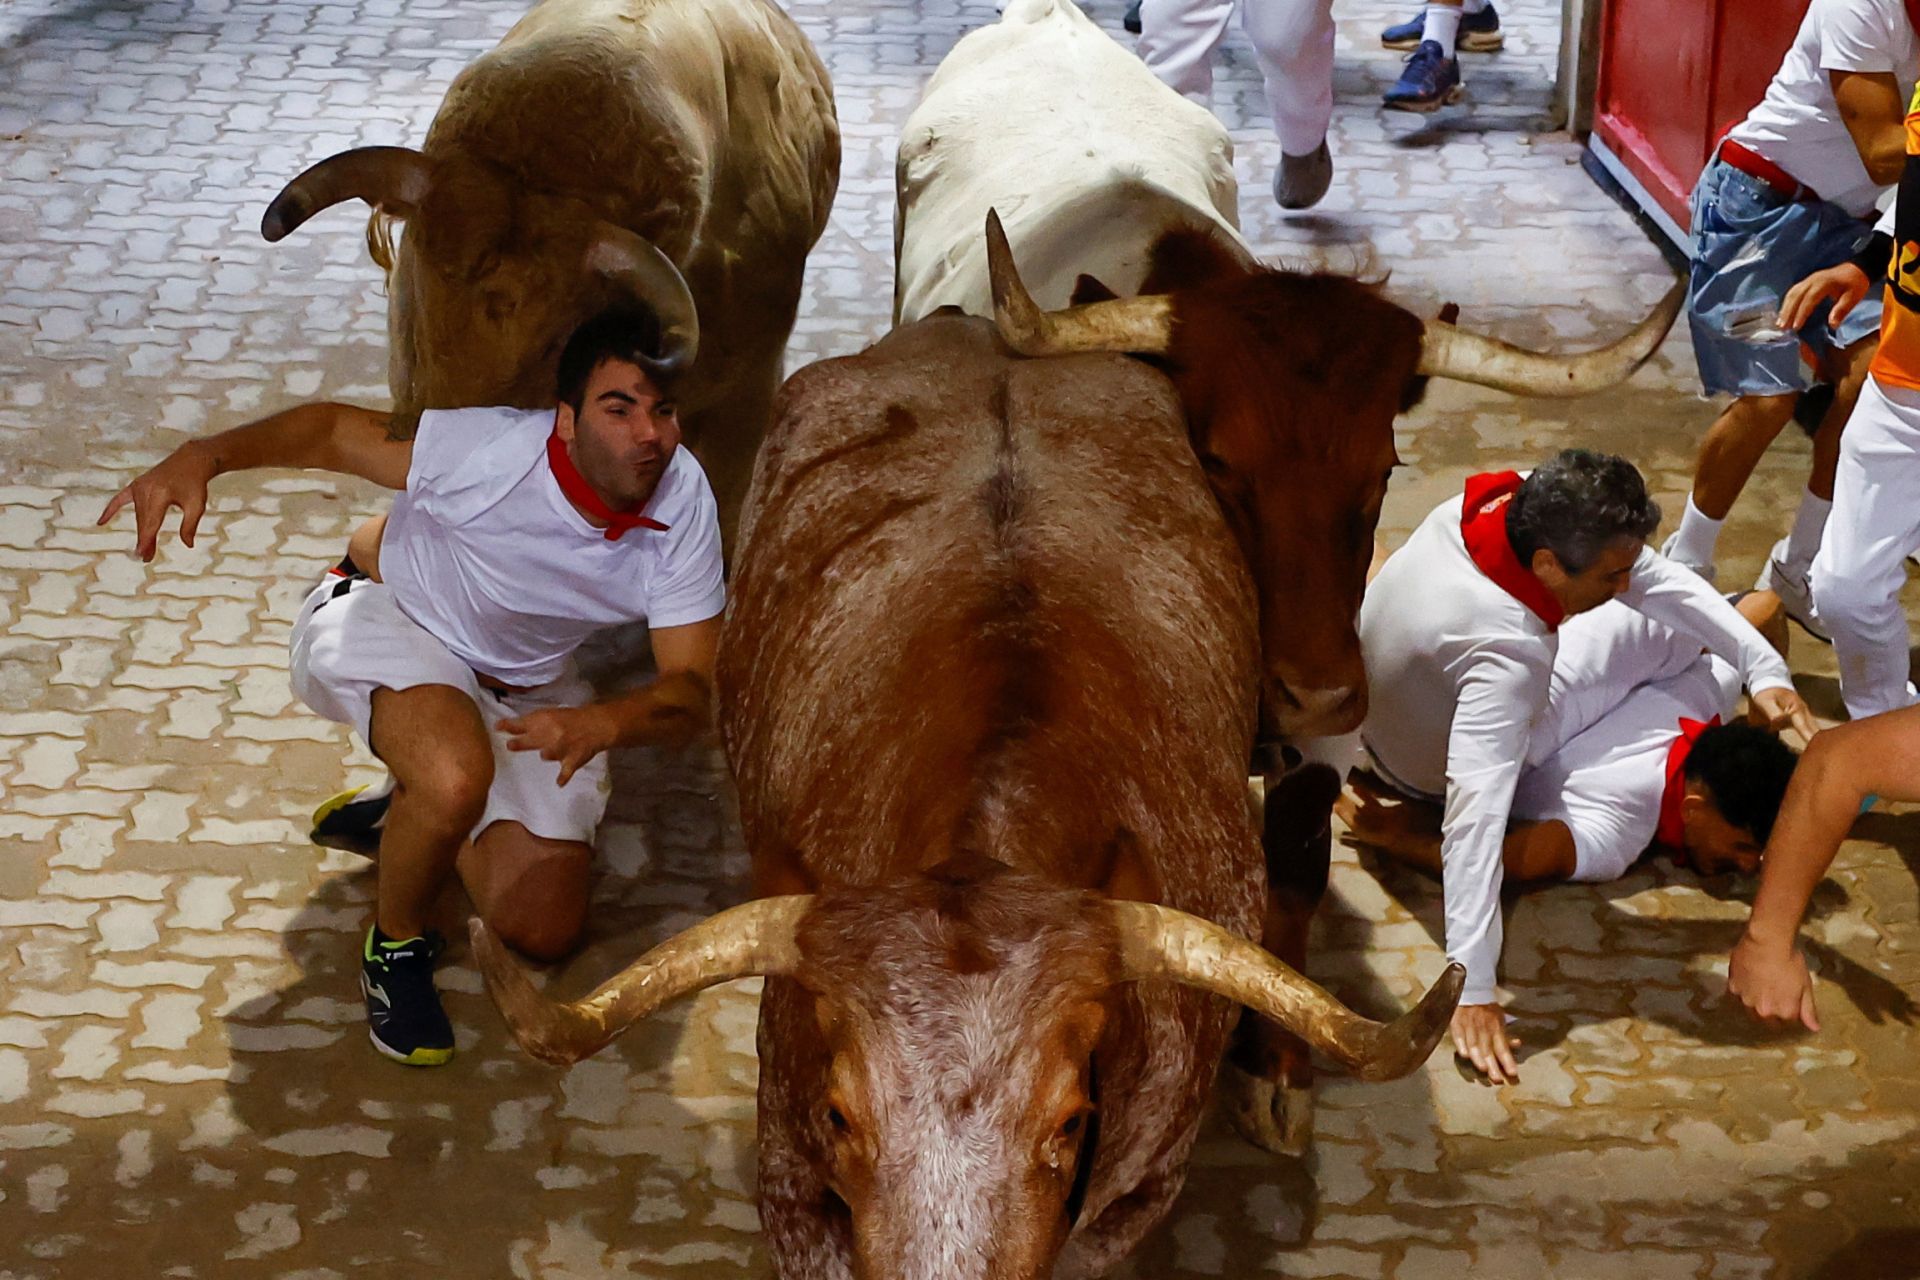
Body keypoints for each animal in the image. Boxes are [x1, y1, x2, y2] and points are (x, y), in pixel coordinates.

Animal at [983, 210, 1689, 1151]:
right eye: (1217, 462)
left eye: (1384, 467)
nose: (1314, 690)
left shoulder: (1329, 726)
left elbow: (1293, 864)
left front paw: (1277, 1063)